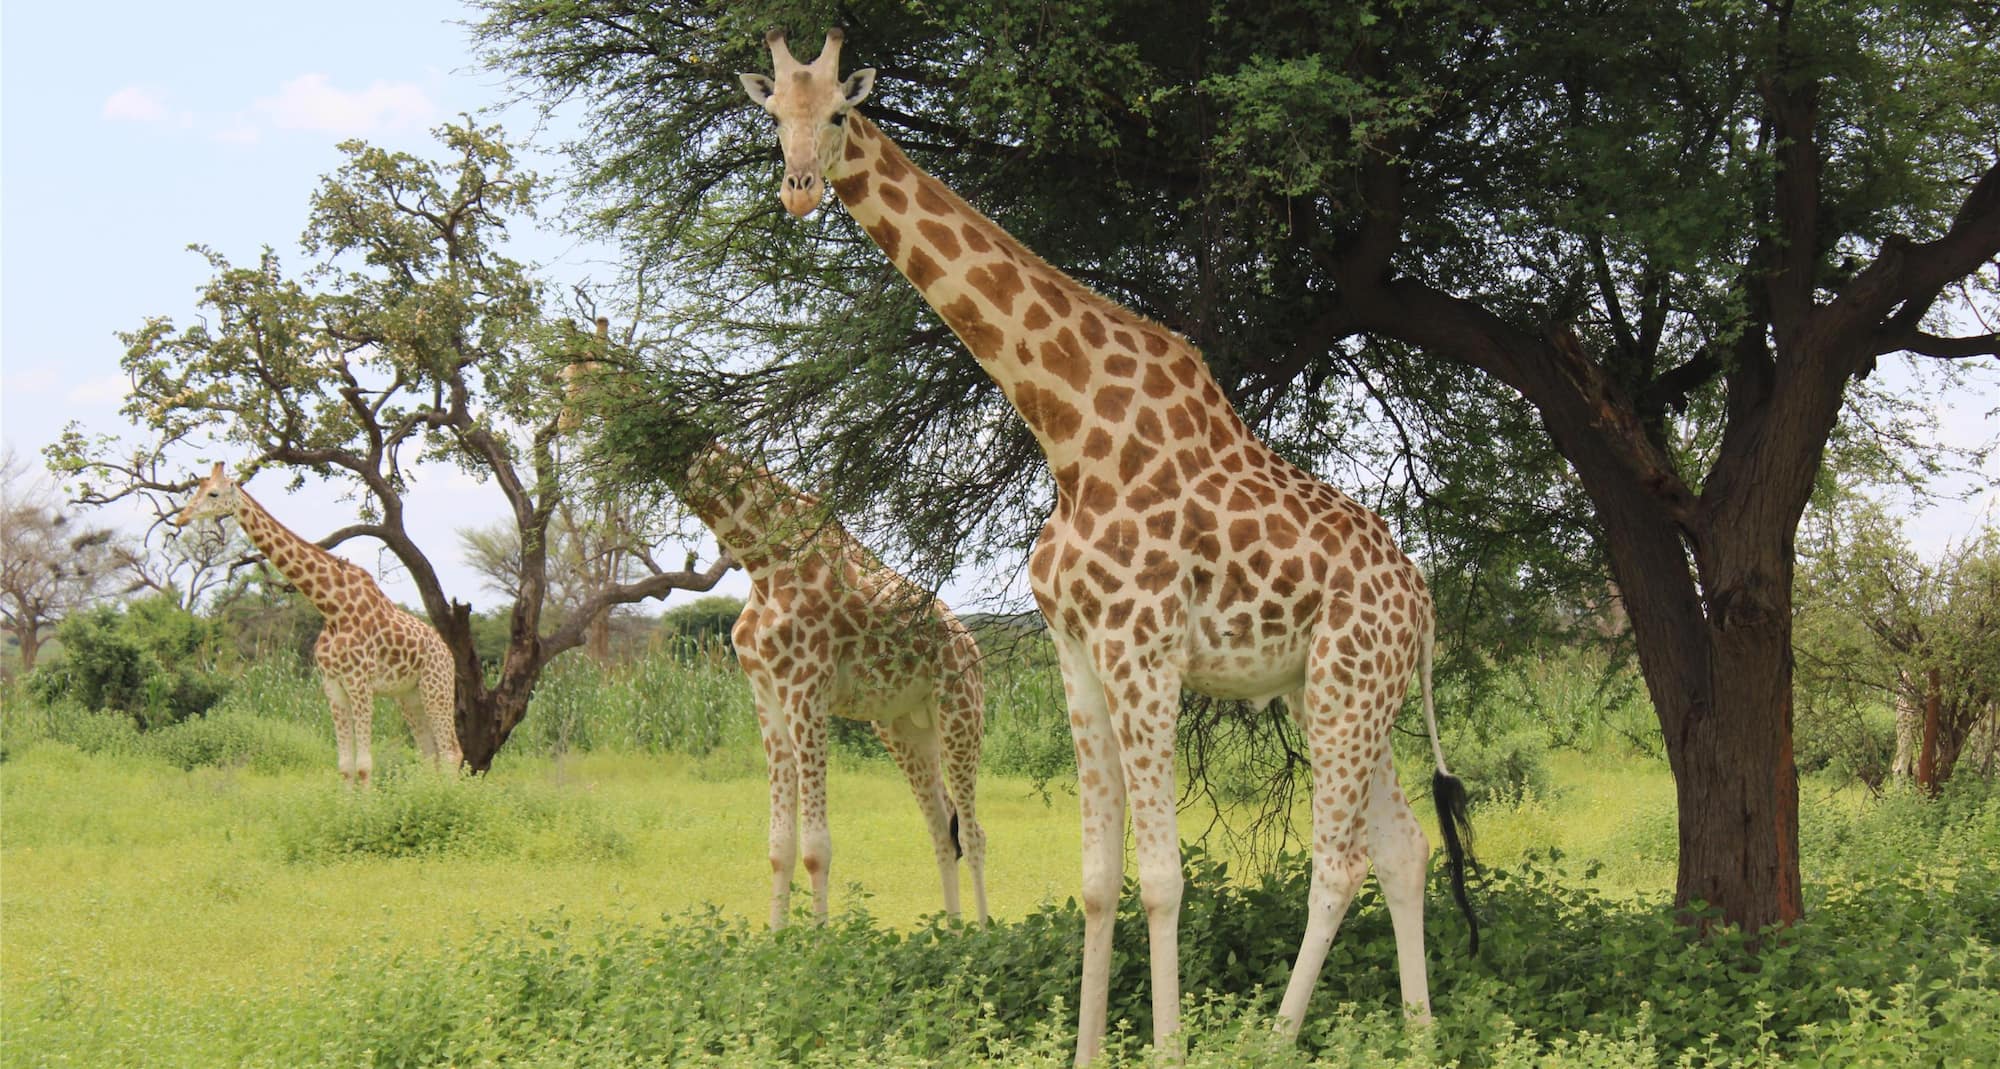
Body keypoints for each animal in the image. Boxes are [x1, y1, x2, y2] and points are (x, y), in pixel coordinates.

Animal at [173, 463, 462, 784]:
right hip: (408, 696)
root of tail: (447, 651)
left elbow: (364, 765)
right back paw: (430, 792)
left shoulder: (360, 683)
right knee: (430, 754)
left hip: (436, 687)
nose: (181, 517)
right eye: (197, 488)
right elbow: (346, 766)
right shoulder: (333, 685)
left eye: (213, 493)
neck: (331, 608)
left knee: (451, 752)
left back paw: (448, 795)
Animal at [564, 350, 989, 926]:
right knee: (942, 829)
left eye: (586, 380)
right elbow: (779, 846)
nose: (562, 424)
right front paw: (778, 935)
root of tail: (971, 645)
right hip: (902, 726)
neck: (762, 558)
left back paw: (985, 930)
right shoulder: (765, 693)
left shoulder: (805, 688)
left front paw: (819, 937)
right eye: (561, 380)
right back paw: (954, 931)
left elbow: (816, 848)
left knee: (974, 831)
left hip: (960, 711)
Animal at [740, 30, 1475, 1062]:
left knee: (1339, 860)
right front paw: (1087, 1047)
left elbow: (1163, 877)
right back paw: (1417, 1035)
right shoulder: (1078, 654)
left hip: (1347, 685)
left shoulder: (1145, 646)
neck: (1069, 432)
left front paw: (1166, 1046)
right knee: (1404, 847)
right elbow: (1096, 879)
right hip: (1331, 686)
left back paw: (1271, 1039)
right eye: (774, 116)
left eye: (840, 110)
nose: (800, 187)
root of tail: (1425, 600)